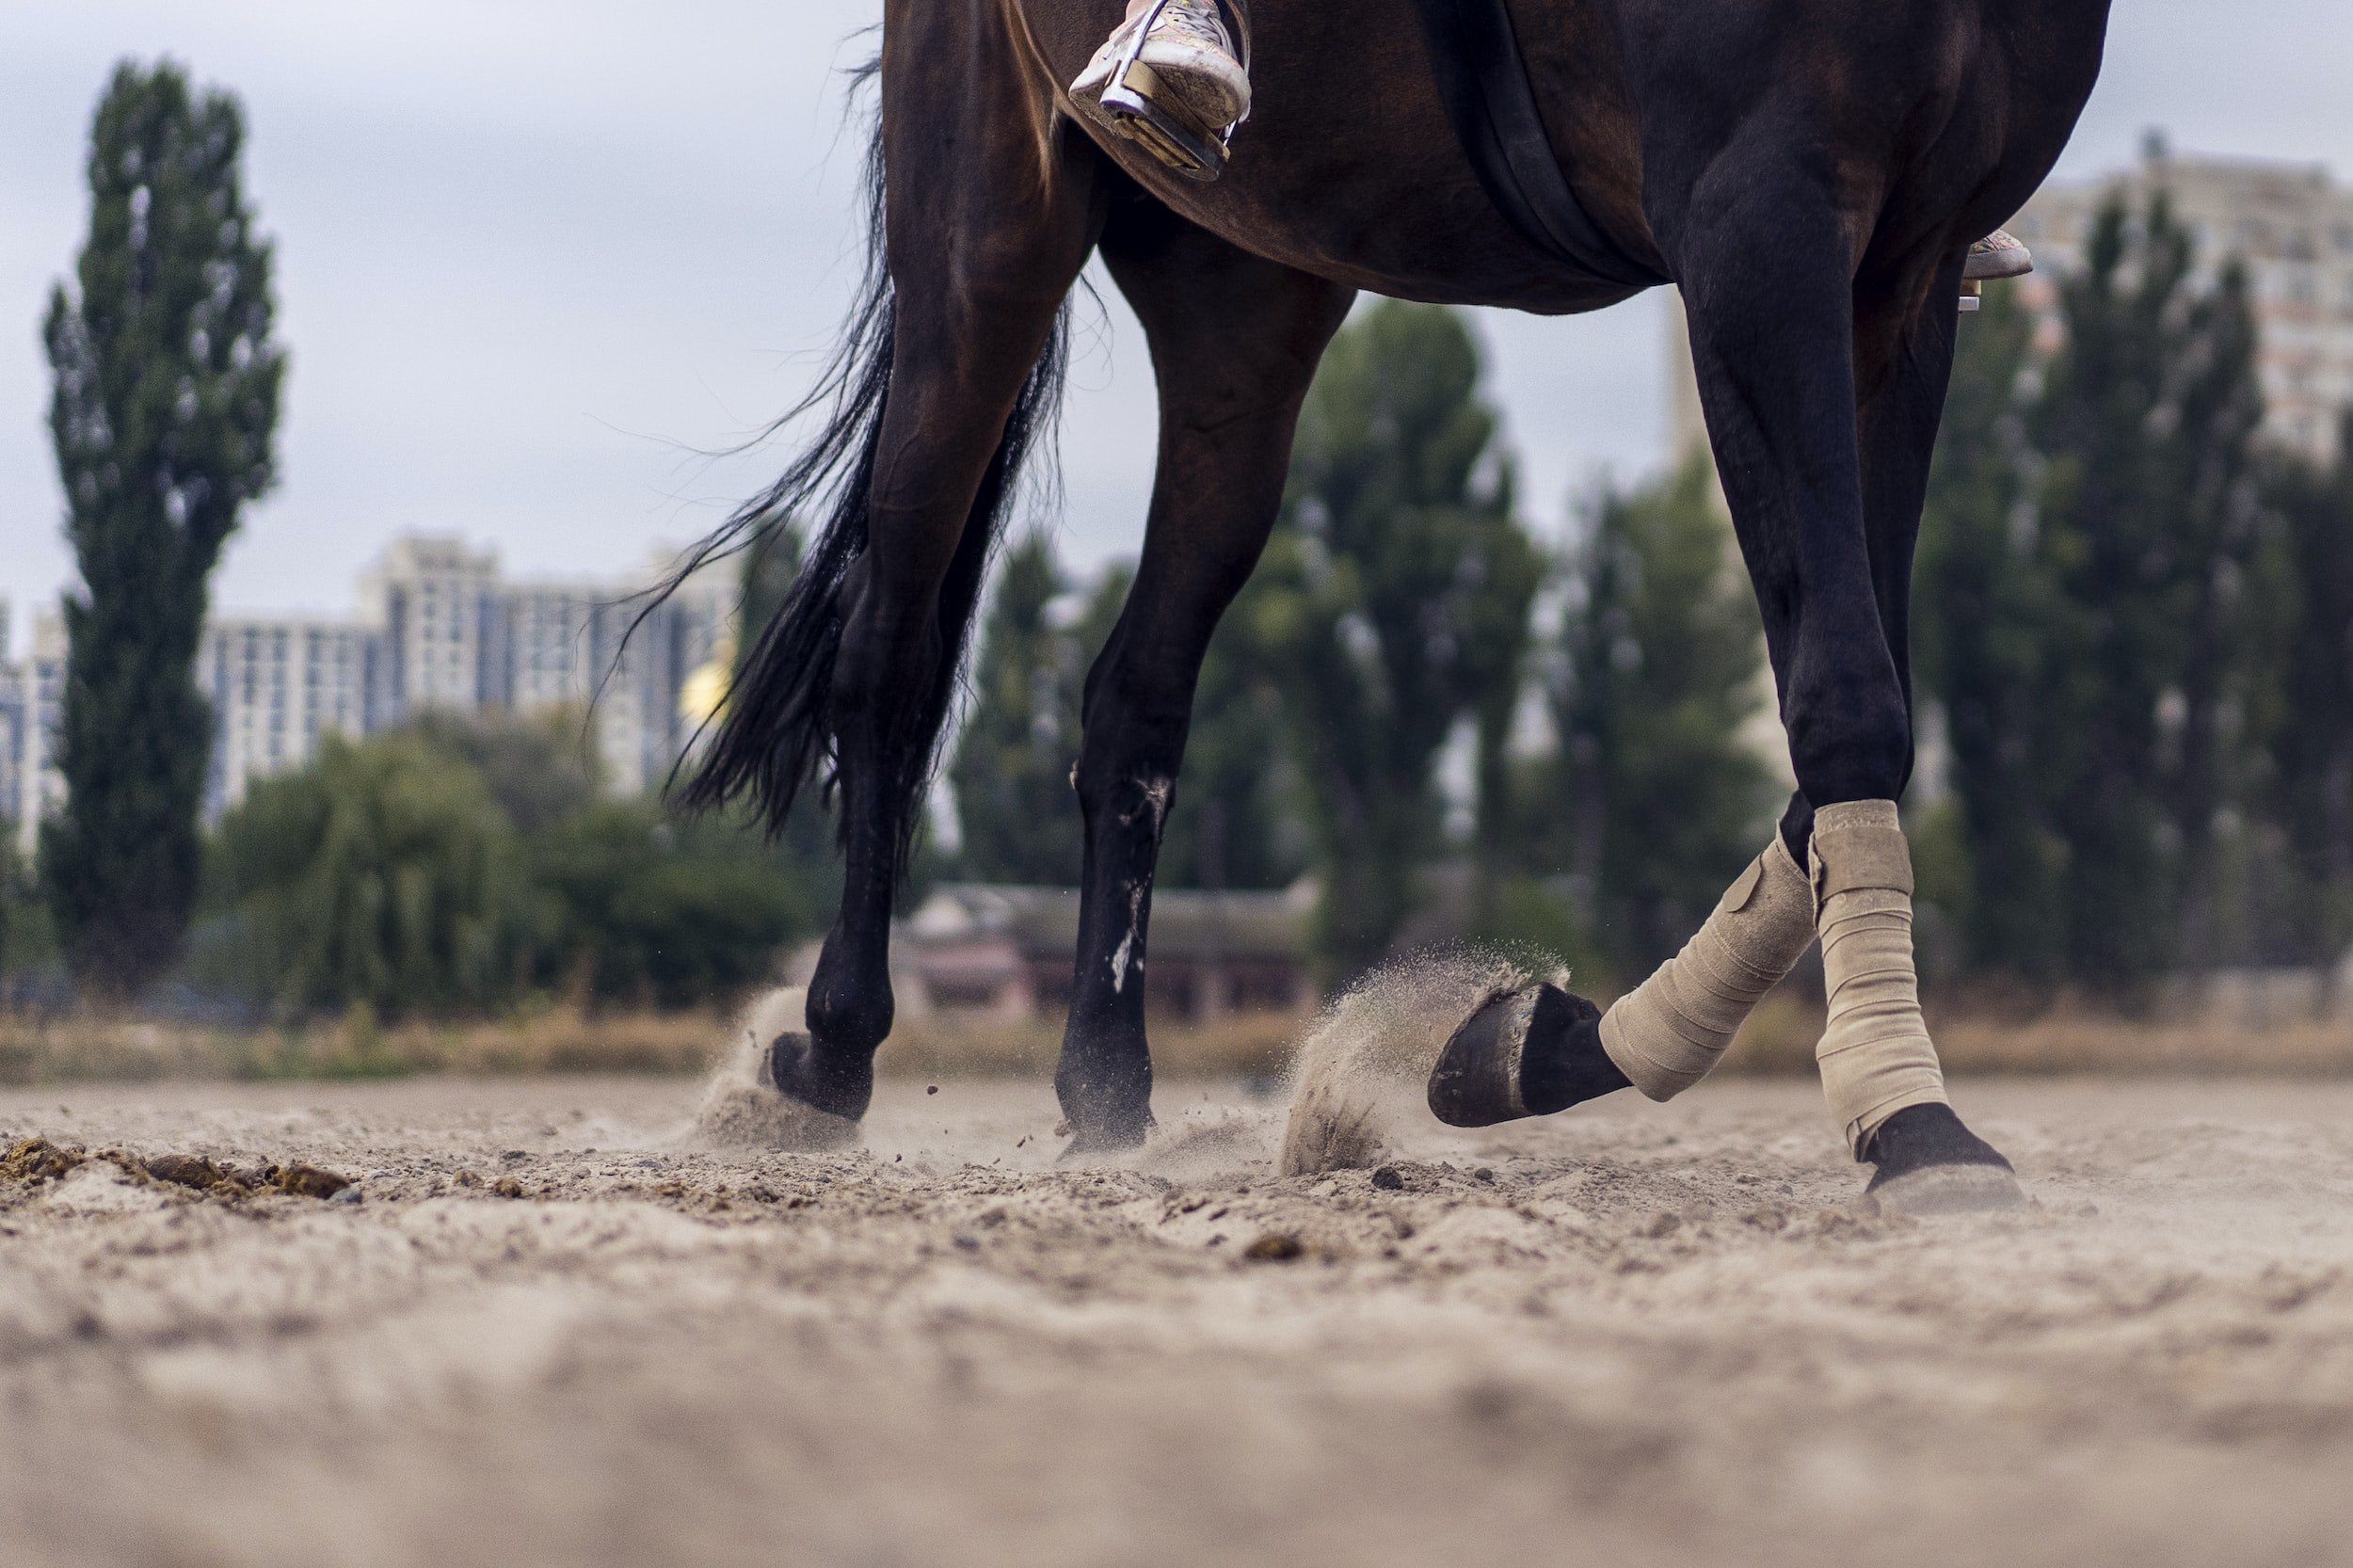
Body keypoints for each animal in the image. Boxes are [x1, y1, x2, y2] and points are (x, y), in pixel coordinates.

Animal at [668, 0, 2118, 1191]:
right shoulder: (1758, 217)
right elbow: (1846, 693)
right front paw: (1910, 1121)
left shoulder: (1905, 268)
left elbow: (1854, 703)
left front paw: (1543, 1043)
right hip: (987, 240)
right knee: (889, 646)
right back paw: (829, 1053)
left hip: (1243, 296)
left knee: (1135, 692)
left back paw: (1110, 1087)